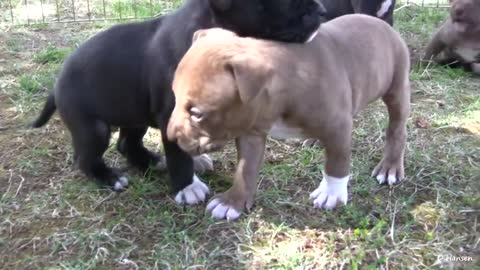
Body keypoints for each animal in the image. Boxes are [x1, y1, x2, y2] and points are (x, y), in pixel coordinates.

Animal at [31, 0, 326, 205]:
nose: (323, 10)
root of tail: (57, 84)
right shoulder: (172, 114)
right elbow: (178, 152)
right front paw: (187, 187)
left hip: (134, 116)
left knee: (127, 143)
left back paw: (153, 161)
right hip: (93, 128)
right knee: (84, 158)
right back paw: (111, 177)